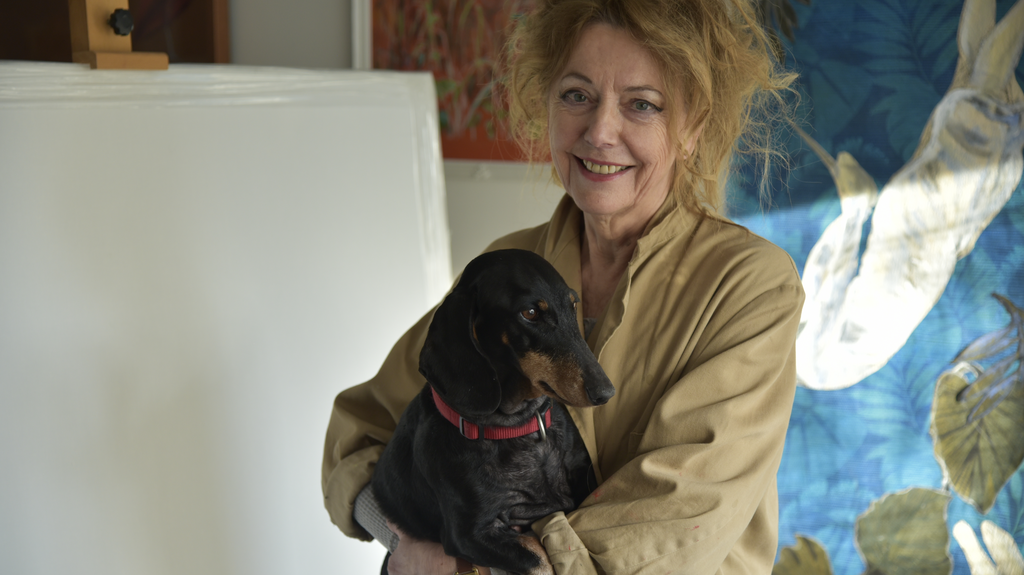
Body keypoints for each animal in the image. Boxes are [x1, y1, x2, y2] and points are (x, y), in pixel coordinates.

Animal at [371, 249, 615, 575]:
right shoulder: (468, 535)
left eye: (572, 305)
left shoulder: (585, 478)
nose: (605, 392)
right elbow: (538, 558)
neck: (518, 426)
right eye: (530, 313)